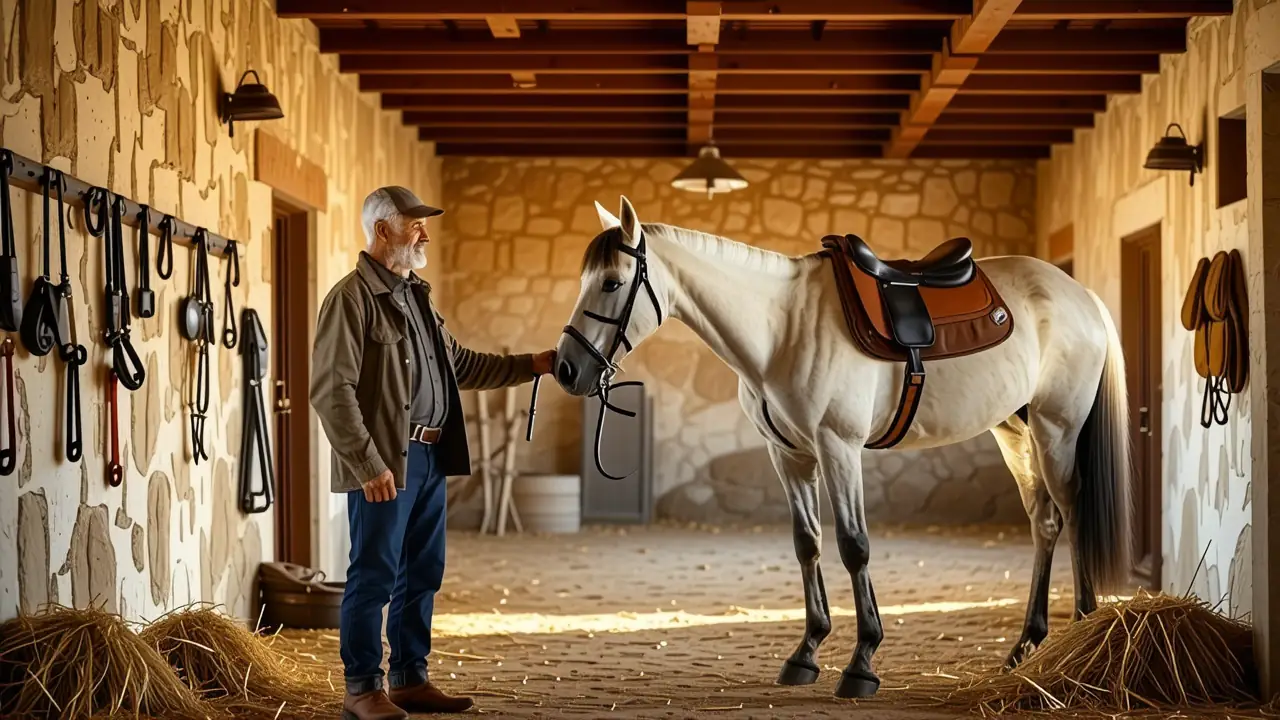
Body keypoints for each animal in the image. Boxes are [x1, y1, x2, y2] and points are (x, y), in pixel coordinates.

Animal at [552, 196, 1131, 699]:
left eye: (611, 282)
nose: (565, 369)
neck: (781, 329)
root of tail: (1080, 295)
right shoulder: (789, 456)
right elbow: (806, 543)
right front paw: (805, 653)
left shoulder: (839, 447)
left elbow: (854, 545)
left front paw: (862, 663)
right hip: (1013, 431)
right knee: (1044, 522)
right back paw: (1025, 646)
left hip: (1057, 429)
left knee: (1074, 511)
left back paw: (1082, 630)